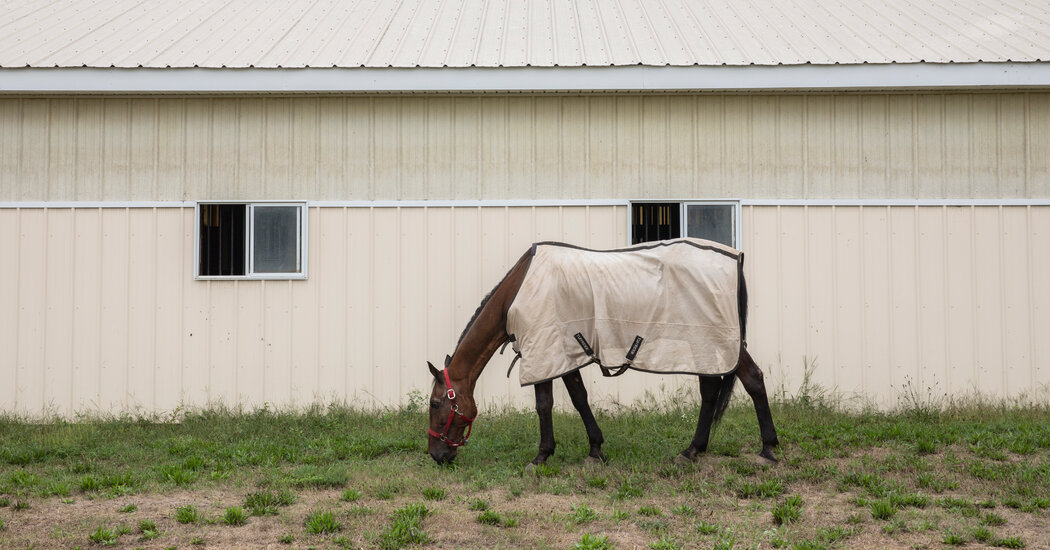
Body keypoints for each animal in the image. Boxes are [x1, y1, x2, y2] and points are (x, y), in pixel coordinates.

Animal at [426, 238, 779, 466]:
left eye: (435, 403)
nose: (436, 455)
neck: (517, 293)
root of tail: (735, 257)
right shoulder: (562, 354)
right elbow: (579, 398)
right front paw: (595, 450)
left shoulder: (544, 351)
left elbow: (544, 405)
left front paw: (541, 456)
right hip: (704, 344)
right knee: (714, 390)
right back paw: (694, 450)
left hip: (712, 342)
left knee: (749, 380)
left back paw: (766, 450)